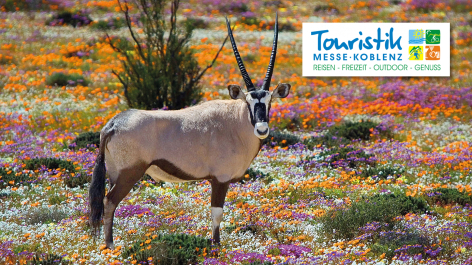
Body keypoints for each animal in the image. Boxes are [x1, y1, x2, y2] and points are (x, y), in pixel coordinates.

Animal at [87, 13, 288, 249]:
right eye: (248, 102)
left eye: (269, 102)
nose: (261, 128)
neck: (235, 123)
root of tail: (113, 124)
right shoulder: (220, 179)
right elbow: (217, 213)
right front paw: (216, 247)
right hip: (130, 173)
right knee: (109, 201)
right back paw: (110, 246)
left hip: (115, 174)